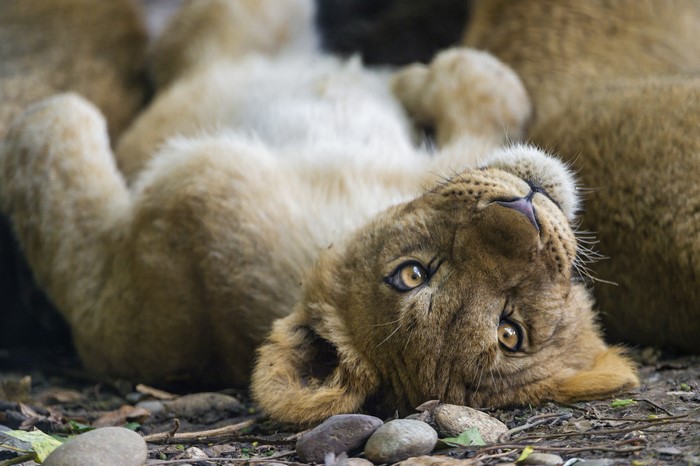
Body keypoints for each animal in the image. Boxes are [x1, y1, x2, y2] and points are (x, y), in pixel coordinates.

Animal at [0, 0, 637, 424]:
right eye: (411, 274)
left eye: (510, 331)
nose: (523, 207)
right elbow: (498, 87)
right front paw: (416, 78)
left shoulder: (143, 269)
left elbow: (51, 149)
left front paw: (51, 113)